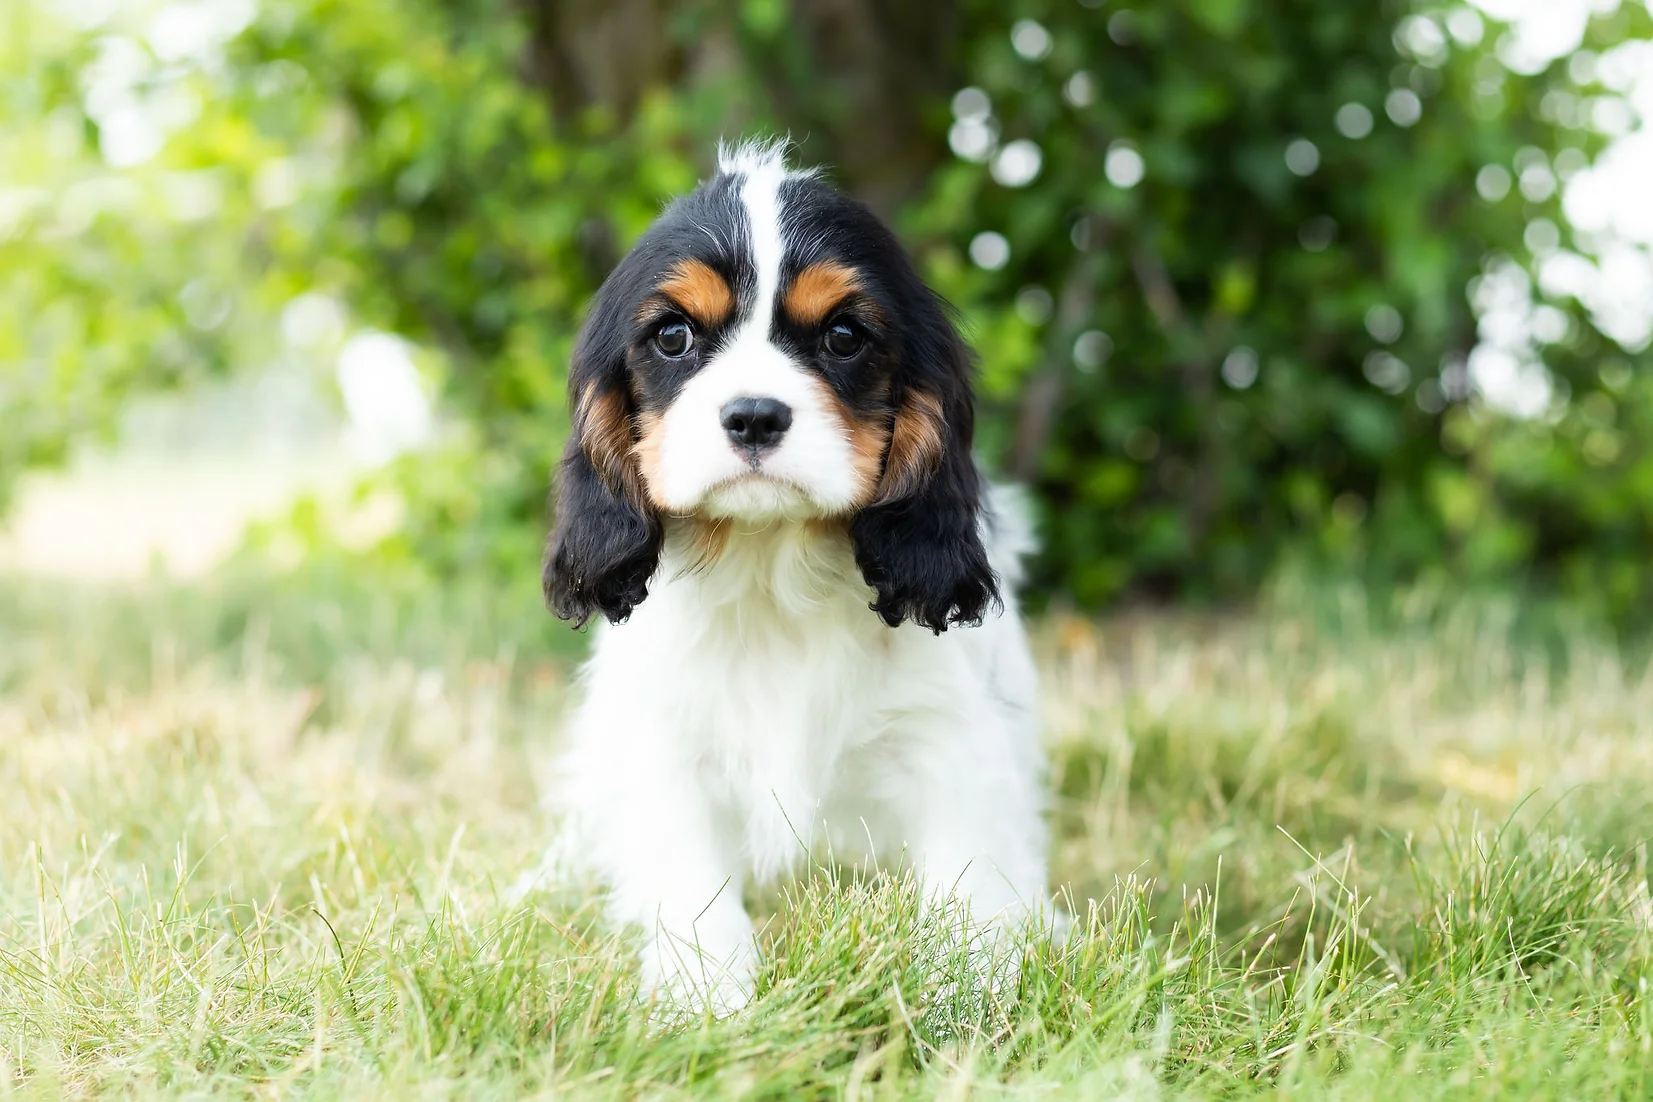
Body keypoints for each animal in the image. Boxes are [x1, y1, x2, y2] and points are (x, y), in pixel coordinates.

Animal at [542, 142, 1044, 1011]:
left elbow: (967, 885)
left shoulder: (947, 739)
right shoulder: (666, 745)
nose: (752, 416)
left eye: (843, 336)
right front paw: (707, 1002)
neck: (770, 567)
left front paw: (966, 1004)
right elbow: (694, 886)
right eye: (672, 337)